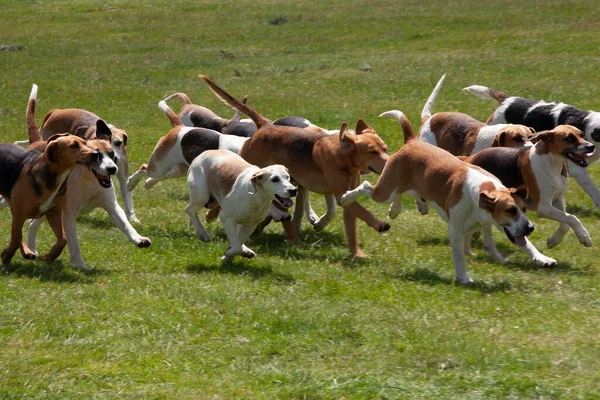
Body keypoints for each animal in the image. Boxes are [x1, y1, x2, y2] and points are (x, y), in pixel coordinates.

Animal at [0, 134, 98, 266]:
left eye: (85, 142)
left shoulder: (54, 214)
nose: (96, 154)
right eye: (74, 146)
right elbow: (15, 238)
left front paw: (51, 256)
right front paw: (7, 255)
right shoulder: (19, 215)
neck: (57, 176)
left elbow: (63, 239)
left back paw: (27, 252)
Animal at [199, 75, 392, 256]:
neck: (342, 156)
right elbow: (361, 211)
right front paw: (379, 224)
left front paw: (357, 253)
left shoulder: (347, 195)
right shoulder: (340, 195)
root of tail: (265, 125)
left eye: (385, 148)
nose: (390, 163)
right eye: (372, 152)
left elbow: (351, 225)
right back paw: (211, 215)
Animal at [340, 111, 532, 282]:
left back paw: (398, 208)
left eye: (523, 209)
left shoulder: (488, 223)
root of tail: (411, 141)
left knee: (405, 193)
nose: (530, 228)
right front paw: (464, 278)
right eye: (510, 210)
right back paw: (347, 197)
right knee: (367, 187)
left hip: (409, 184)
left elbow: (507, 243)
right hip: (385, 190)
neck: (481, 191)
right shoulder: (456, 230)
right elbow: (459, 256)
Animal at [464, 123, 596, 260]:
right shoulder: (544, 208)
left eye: (581, 134)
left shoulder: (558, 198)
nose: (591, 146)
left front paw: (554, 240)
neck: (552, 163)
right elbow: (572, 218)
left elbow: (565, 223)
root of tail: (469, 159)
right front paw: (584, 236)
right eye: (569, 138)